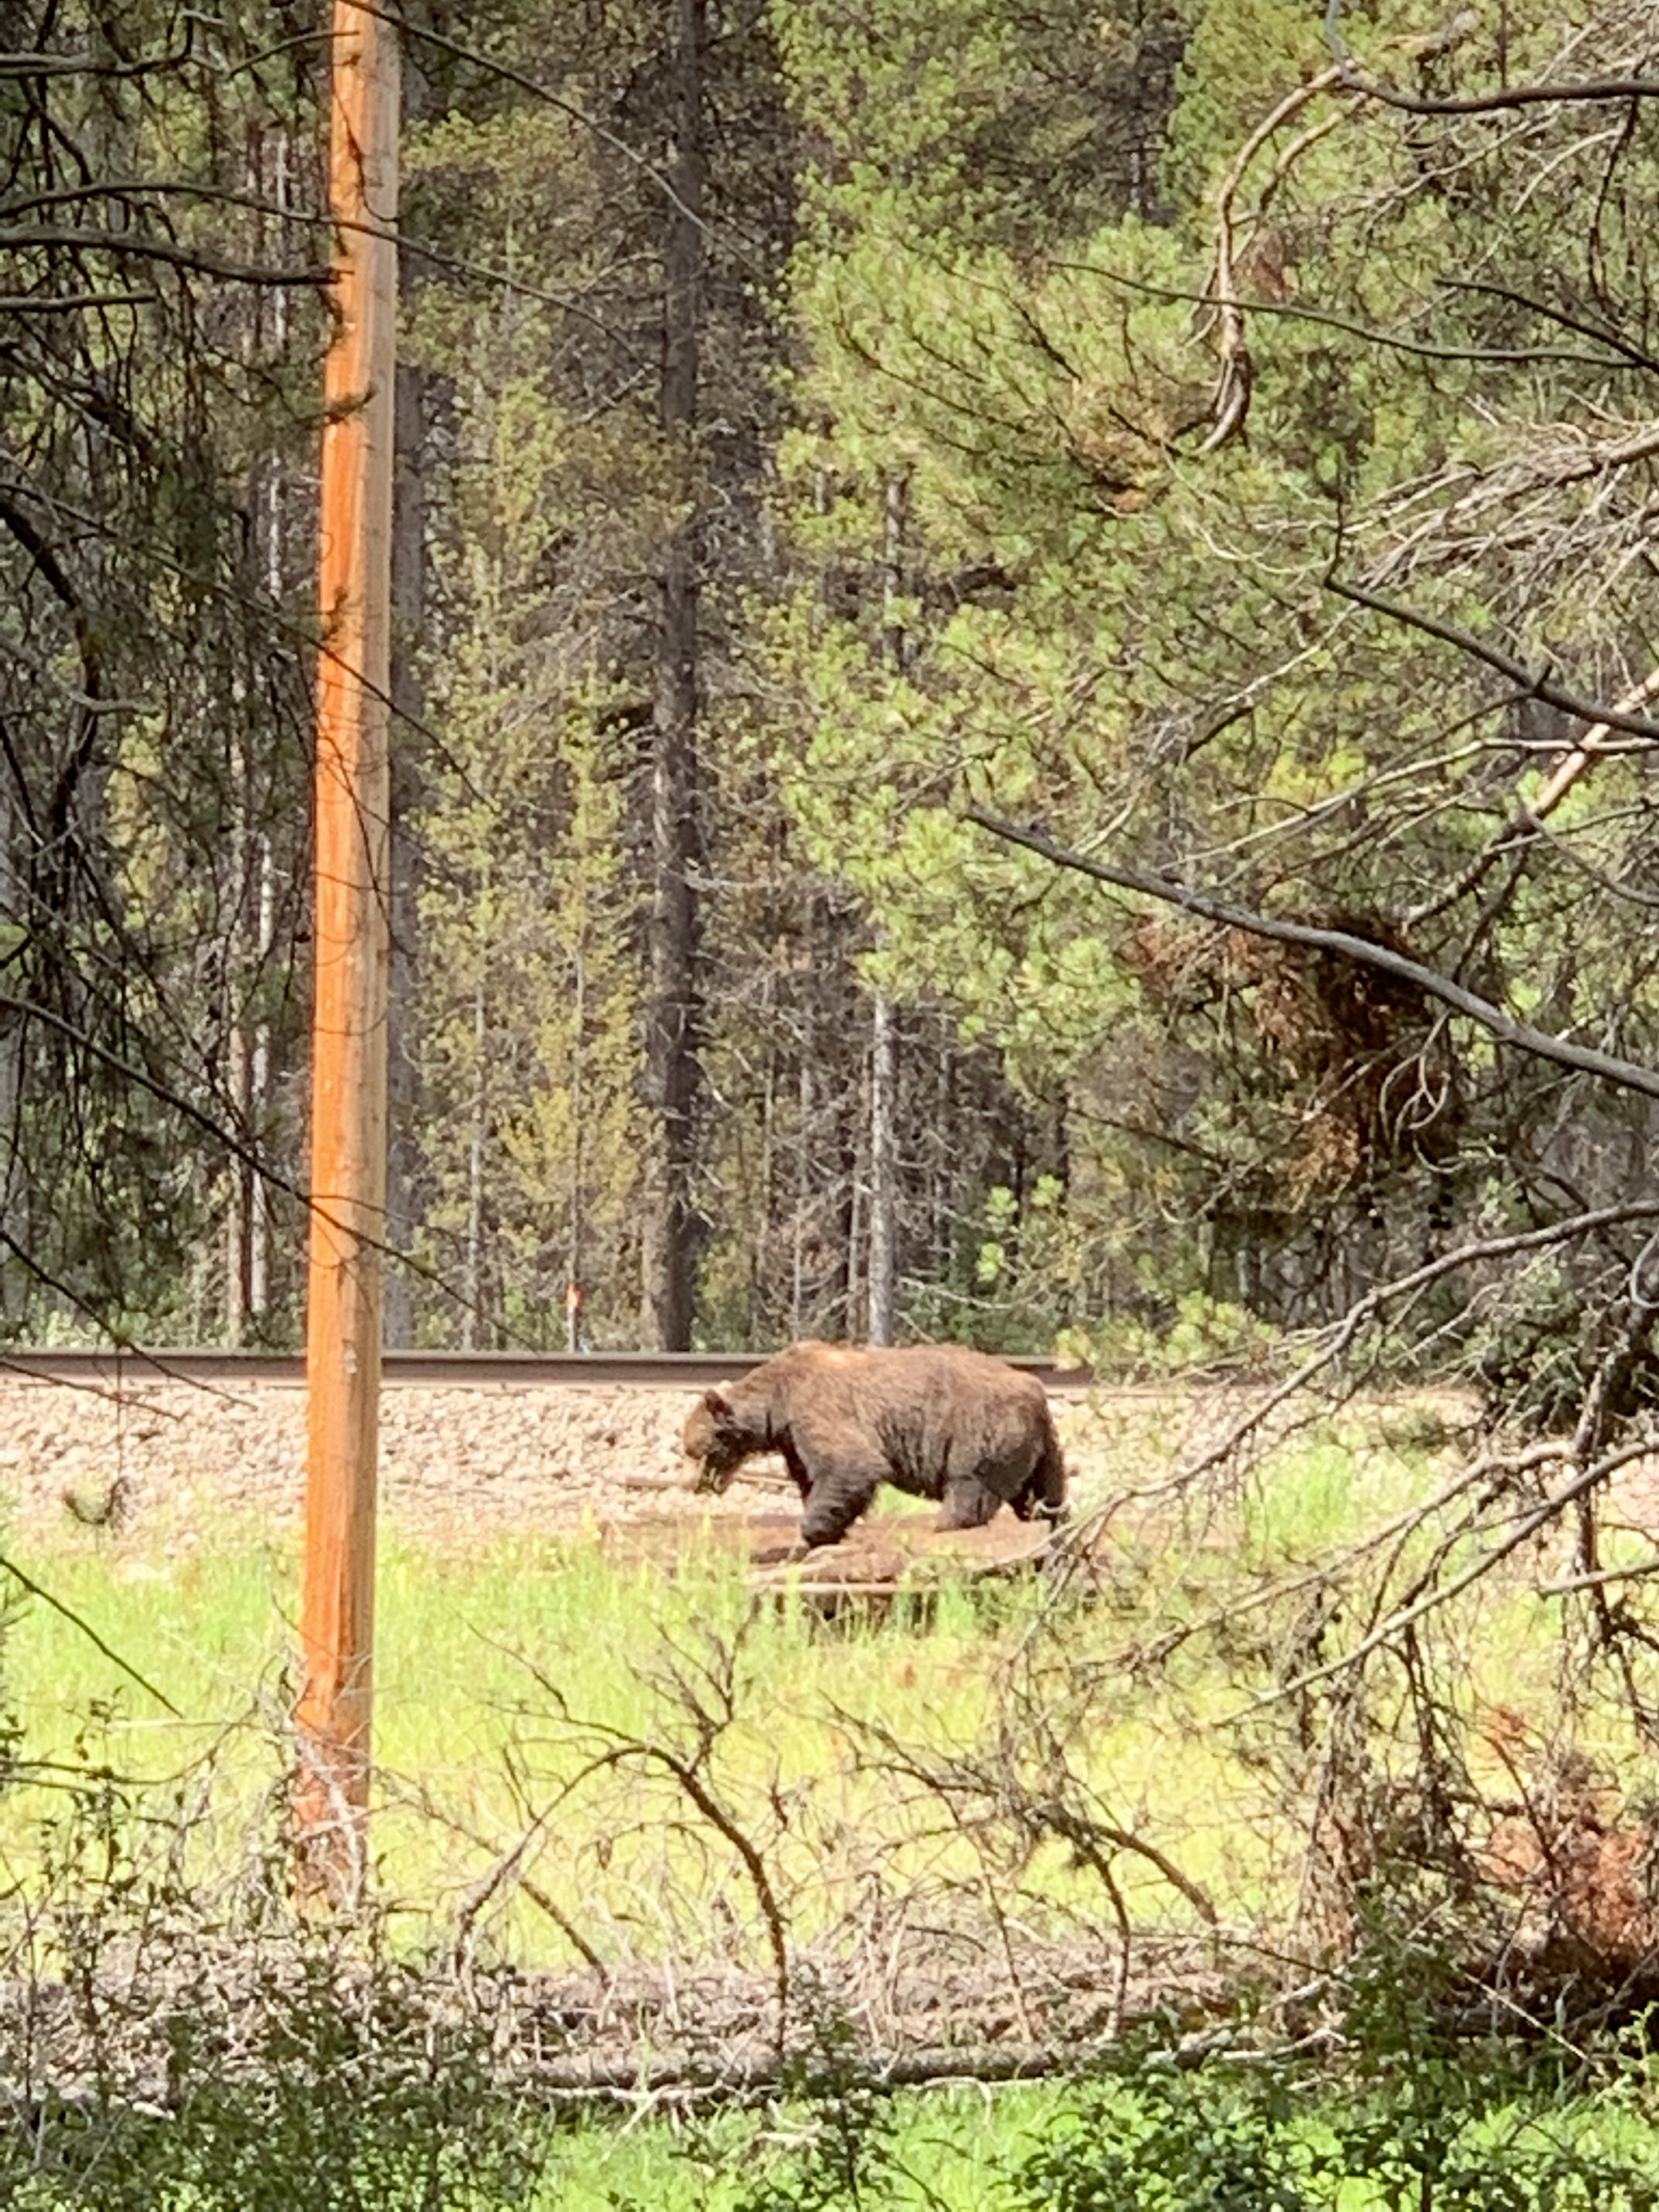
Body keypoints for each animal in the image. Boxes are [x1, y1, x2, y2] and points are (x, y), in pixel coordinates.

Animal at [682, 1340, 1068, 1549]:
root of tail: (1037, 1393)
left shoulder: (818, 1409)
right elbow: (813, 1478)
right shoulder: (793, 1440)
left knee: (970, 1488)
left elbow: (851, 1464)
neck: (777, 1402)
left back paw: (945, 1523)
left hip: (979, 1432)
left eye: (695, 1450)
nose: (695, 1484)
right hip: (1039, 1449)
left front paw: (809, 1533)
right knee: (1044, 1497)